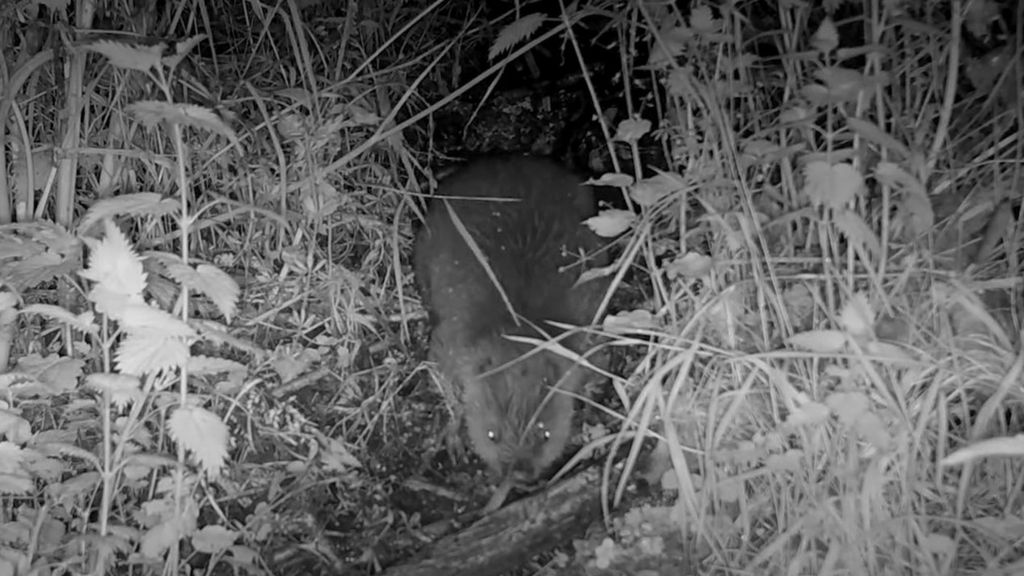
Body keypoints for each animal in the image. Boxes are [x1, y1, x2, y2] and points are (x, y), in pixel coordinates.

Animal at [413, 154, 606, 481]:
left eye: (545, 435)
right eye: (492, 435)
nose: (518, 474)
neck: (519, 324)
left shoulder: (583, 332)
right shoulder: (451, 343)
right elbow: (441, 375)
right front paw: (454, 437)